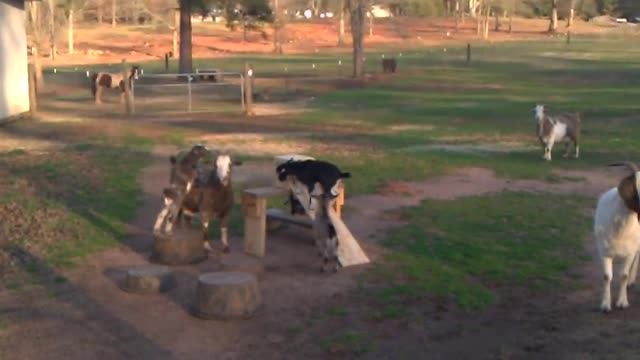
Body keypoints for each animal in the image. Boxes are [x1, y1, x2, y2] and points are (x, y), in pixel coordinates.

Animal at [592, 162, 640, 312]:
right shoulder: (604, 252)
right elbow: (607, 276)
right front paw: (605, 304)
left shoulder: (629, 252)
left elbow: (623, 275)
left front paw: (622, 302)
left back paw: (631, 281)